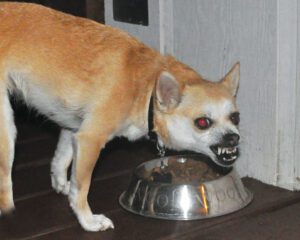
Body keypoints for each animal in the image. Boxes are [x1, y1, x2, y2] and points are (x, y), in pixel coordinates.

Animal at [0, 2, 240, 232]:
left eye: (236, 118)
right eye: (203, 122)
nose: (233, 137)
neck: (146, 88)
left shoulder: (74, 129)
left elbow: (61, 158)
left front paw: (62, 185)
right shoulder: (89, 140)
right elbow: (81, 187)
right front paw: (88, 221)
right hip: (7, 133)